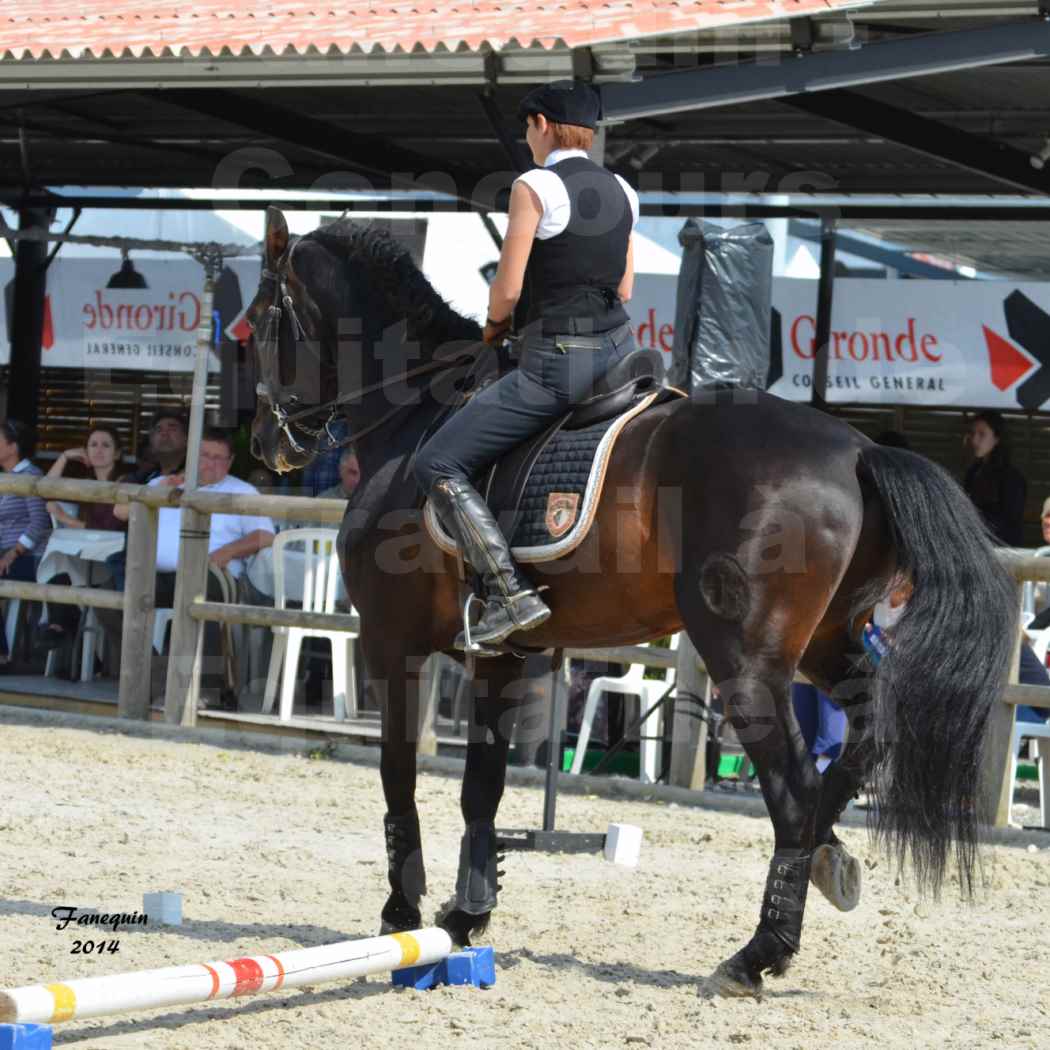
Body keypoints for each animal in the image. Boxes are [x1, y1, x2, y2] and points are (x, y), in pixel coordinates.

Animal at [245, 206, 1016, 999]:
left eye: (255, 322)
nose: (269, 443)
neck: (416, 416)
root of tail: (858, 451)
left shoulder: (389, 639)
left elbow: (398, 772)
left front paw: (403, 916)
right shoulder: (498, 656)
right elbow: (481, 790)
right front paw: (465, 917)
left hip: (745, 659)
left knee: (794, 790)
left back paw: (756, 954)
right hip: (830, 643)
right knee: (865, 738)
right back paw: (830, 861)